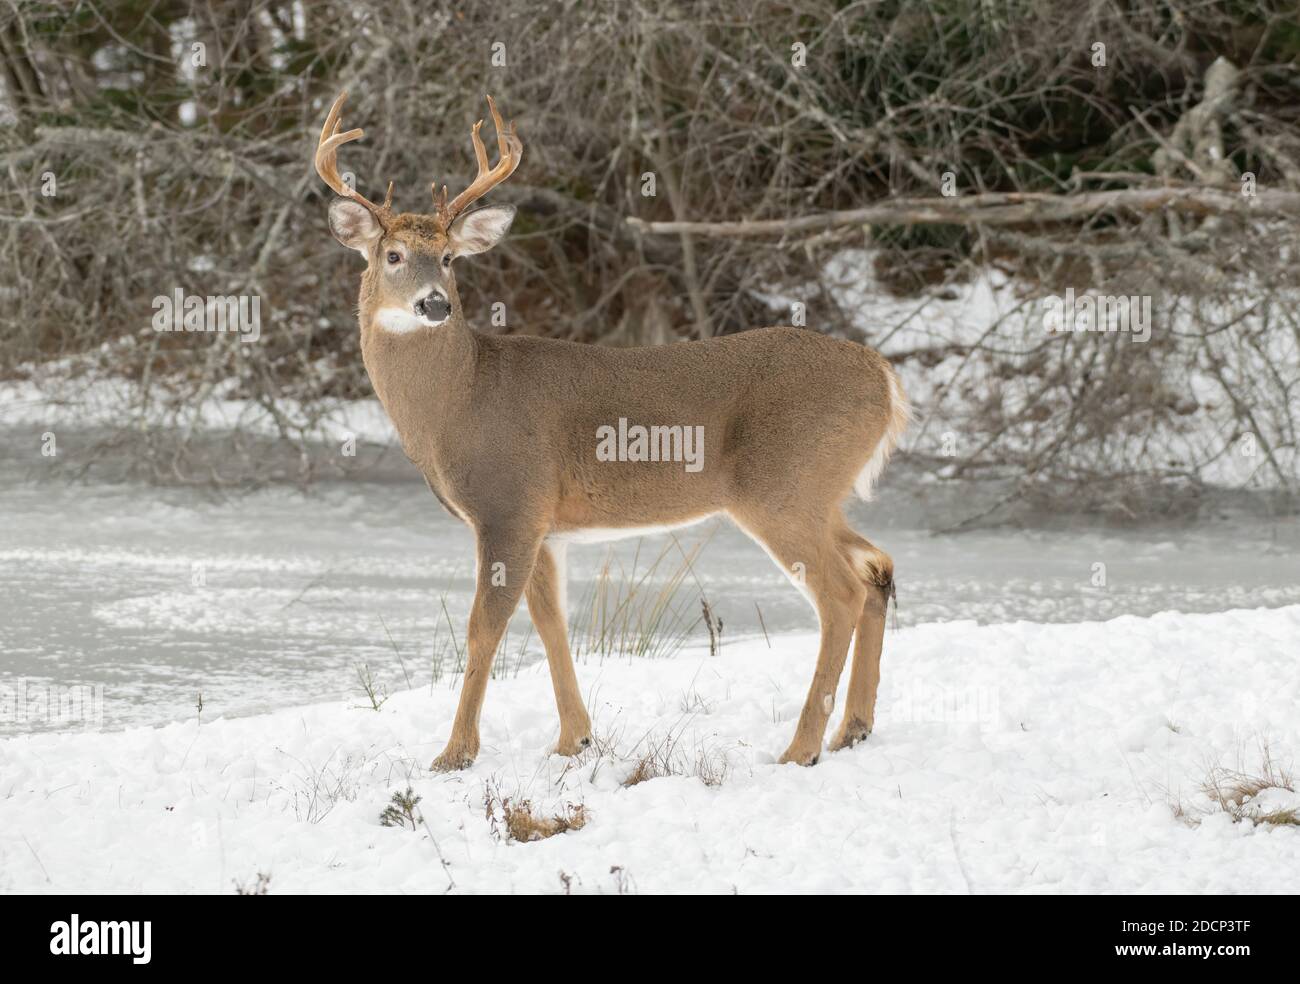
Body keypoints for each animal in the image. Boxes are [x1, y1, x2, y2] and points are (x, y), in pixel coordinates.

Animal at [315, 90, 909, 769]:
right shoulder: (544, 525)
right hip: (820, 494)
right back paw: (852, 730)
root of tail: (885, 378)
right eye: (392, 255)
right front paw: (574, 738)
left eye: (446, 257)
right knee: (878, 567)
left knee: (841, 594)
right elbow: (551, 623)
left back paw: (800, 748)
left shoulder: (508, 504)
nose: (435, 303)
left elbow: (483, 627)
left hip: (782, 486)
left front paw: (455, 755)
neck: (460, 400)